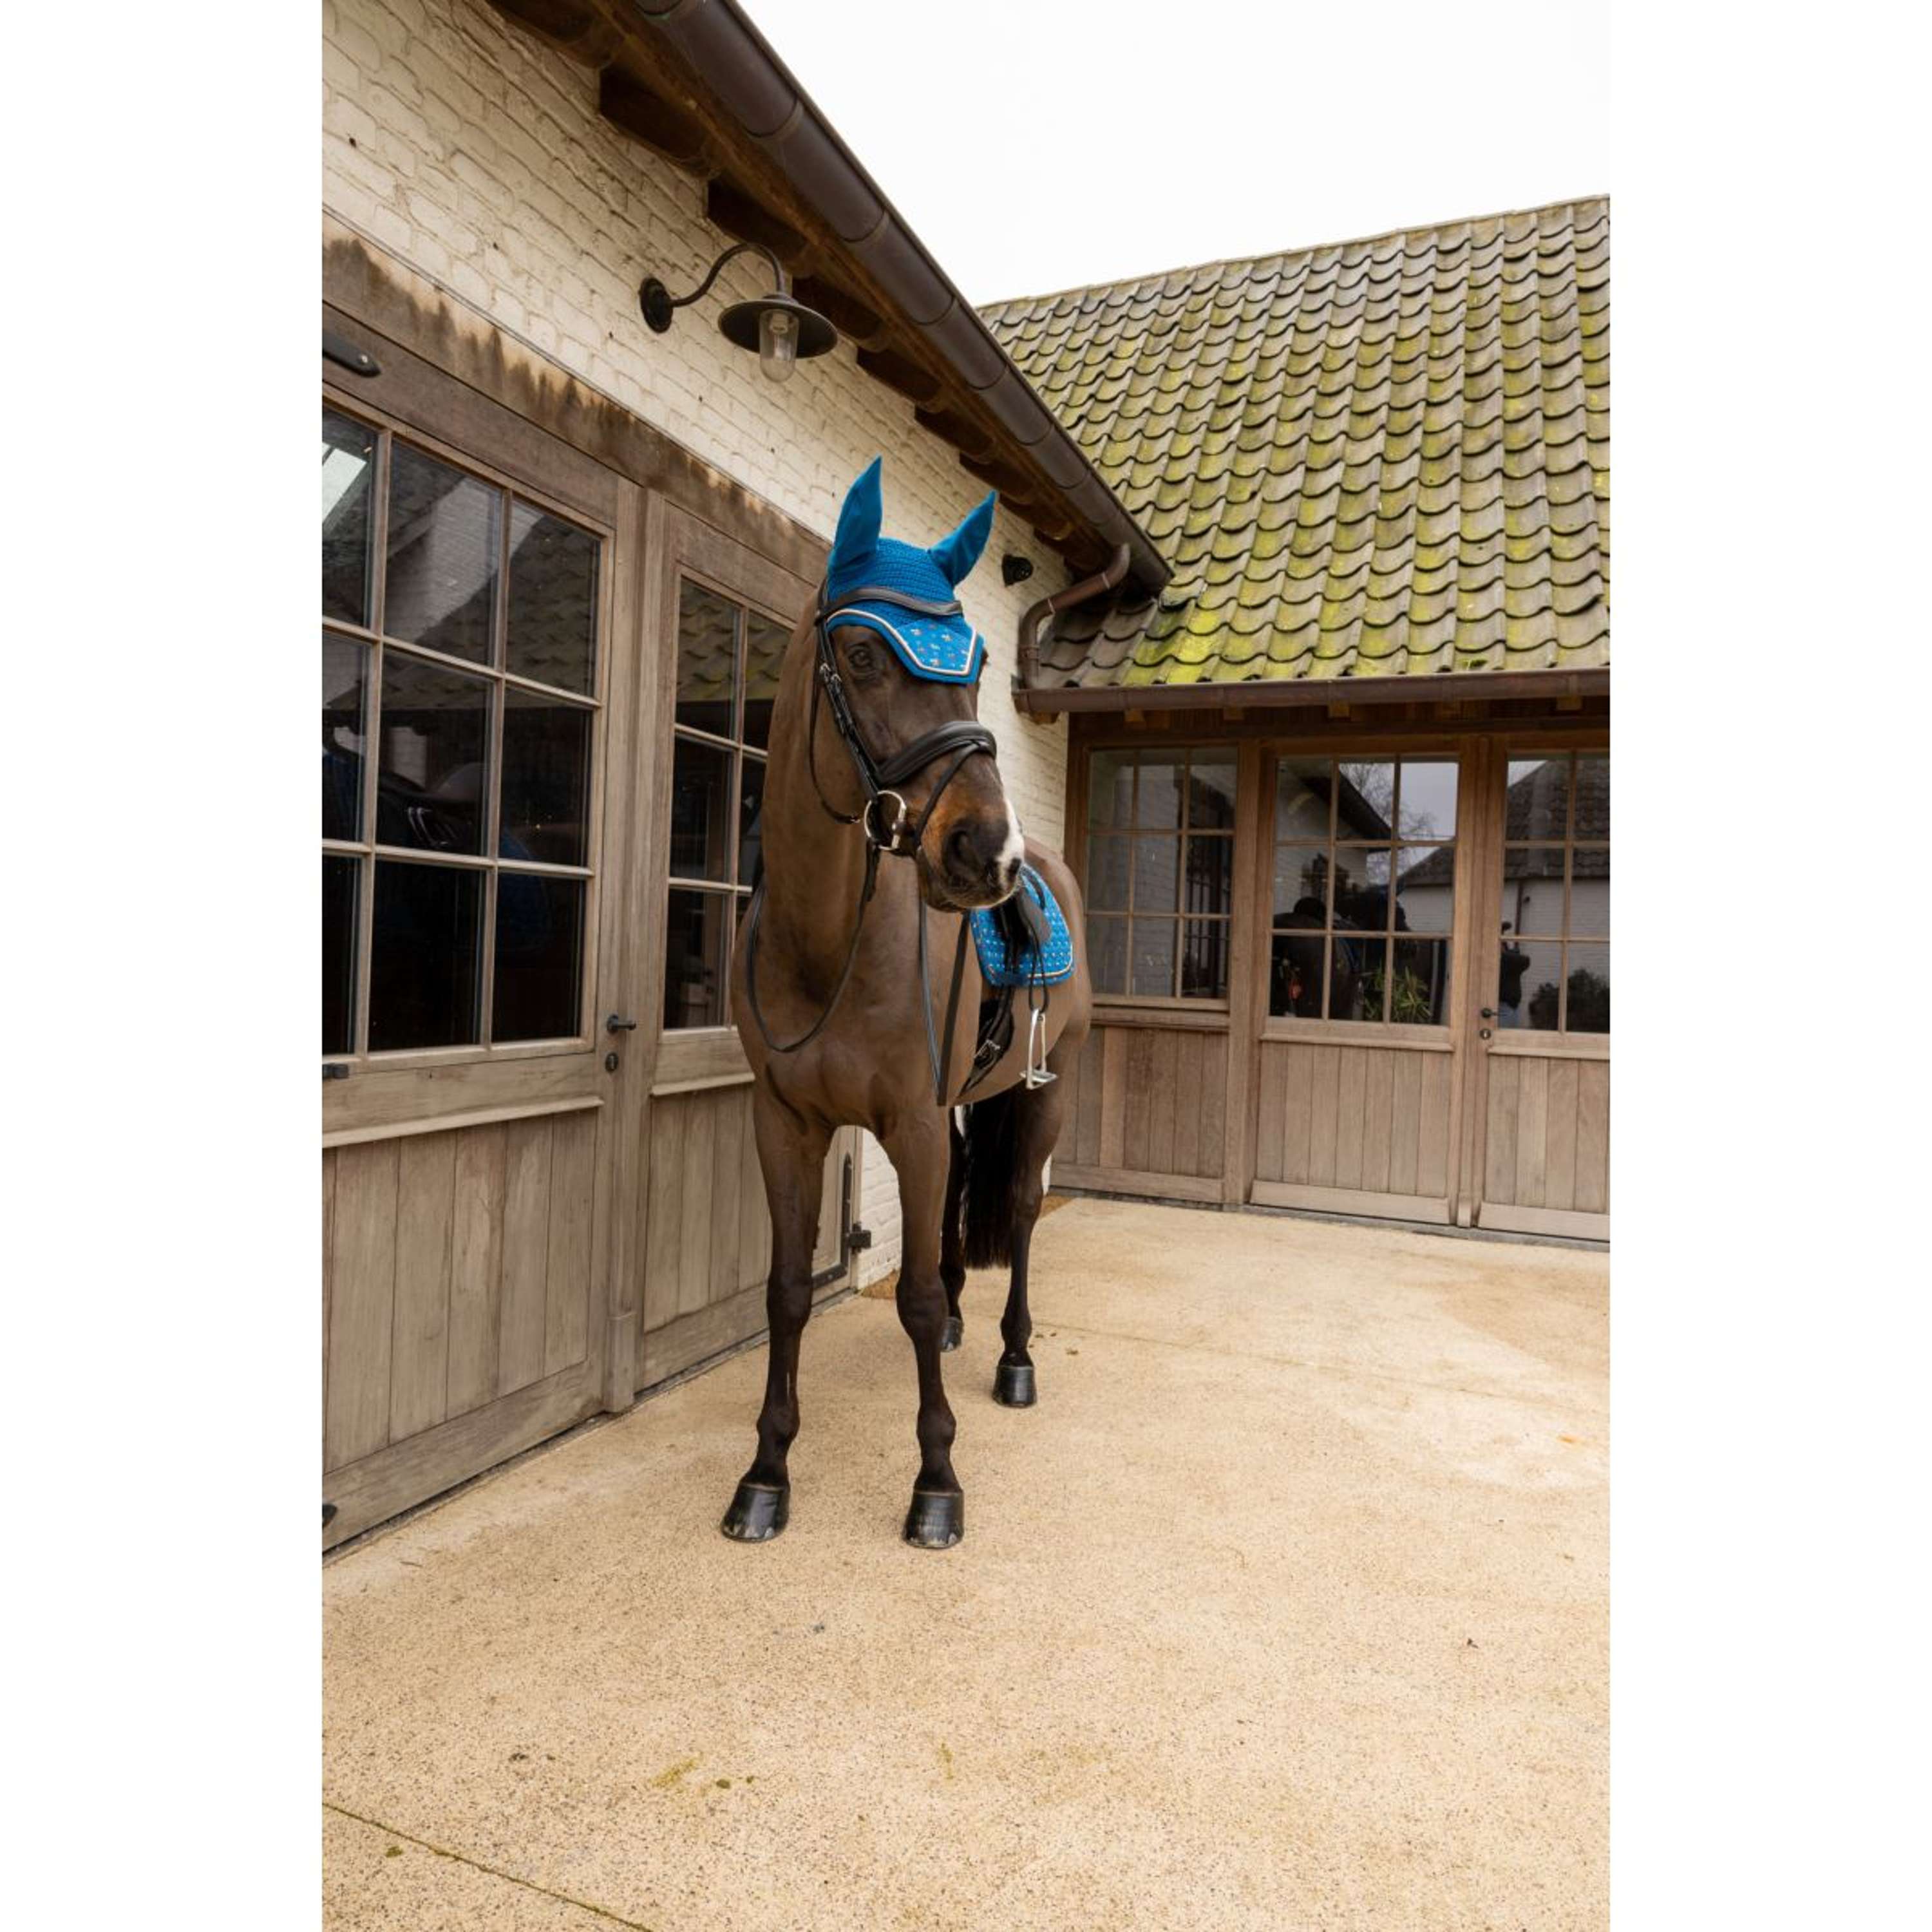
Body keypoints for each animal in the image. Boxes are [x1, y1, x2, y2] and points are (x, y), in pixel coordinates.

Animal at [721, 459, 1092, 1550]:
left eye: (977, 660)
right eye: (860, 653)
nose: (985, 853)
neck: (827, 947)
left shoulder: (916, 1126)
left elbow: (917, 1295)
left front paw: (937, 1483)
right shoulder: (786, 1122)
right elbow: (788, 1292)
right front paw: (766, 1472)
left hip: (1049, 1089)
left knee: (1020, 1211)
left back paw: (1014, 1358)